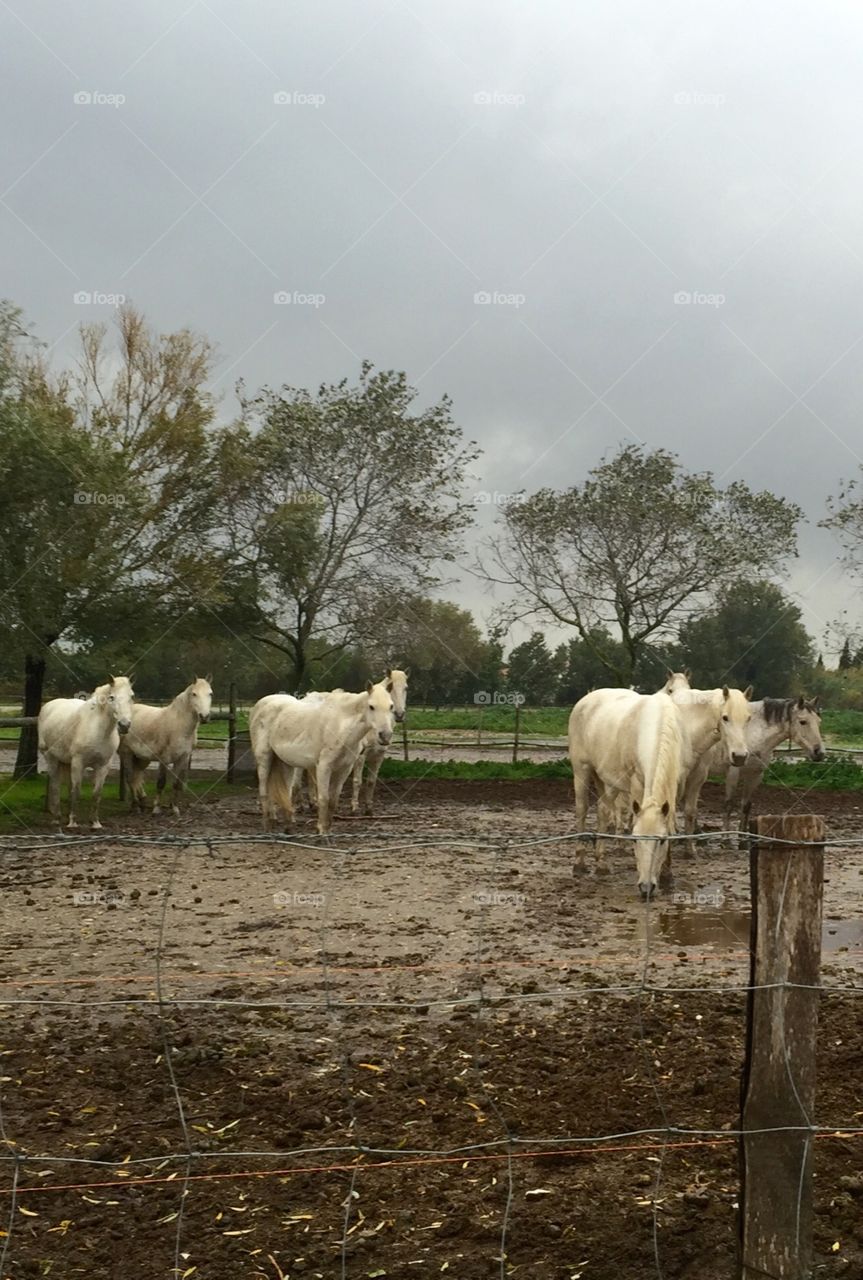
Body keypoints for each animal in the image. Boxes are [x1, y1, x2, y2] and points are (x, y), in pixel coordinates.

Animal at [37, 680, 134, 829]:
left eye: (131, 696)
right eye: (111, 697)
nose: (124, 725)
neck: (99, 729)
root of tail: (47, 706)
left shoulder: (103, 766)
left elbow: (96, 793)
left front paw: (95, 823)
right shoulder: (79, 762)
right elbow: (76, 791)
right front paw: (73, 823)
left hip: (66, 762)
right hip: (51, 758)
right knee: (55, 785)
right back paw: (57, 818)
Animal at [120, 675, 212, 814]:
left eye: (210, 693)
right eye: (194, 694)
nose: (204, 716)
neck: (178, 726)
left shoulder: (183, 758)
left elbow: (176, 783)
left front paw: (174, 808)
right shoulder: (163, 759)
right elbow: (161, 782)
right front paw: (156, 808)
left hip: (141, 758)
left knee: (137, 776)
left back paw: (142, 801)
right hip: (126, 753)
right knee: (130, 777)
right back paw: (136, 806)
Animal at [248, 686, 394, 834]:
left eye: (391, 706)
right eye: (371, 706)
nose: (385, 736)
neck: (341, 725)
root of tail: (261, 704)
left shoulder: (344, 769)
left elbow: (333, 801)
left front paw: (328, 830)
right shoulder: (324, 766)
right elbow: (324, 798)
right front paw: (322, 831)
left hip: (285, 763)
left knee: (286, 792)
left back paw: (288, 827)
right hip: (264, 758)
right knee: (264, 791)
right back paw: (268, 826)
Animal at [568, 691, 681, 901]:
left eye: (661, 840)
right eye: (635, 839)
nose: (646, 888)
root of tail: (586, 699)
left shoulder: (675, 781)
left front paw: (667, 874)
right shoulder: (636, 783)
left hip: (604, 779)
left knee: (603, 811)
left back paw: (601, 863)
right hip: (581, 771)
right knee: (582, 810)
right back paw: (579, 862)